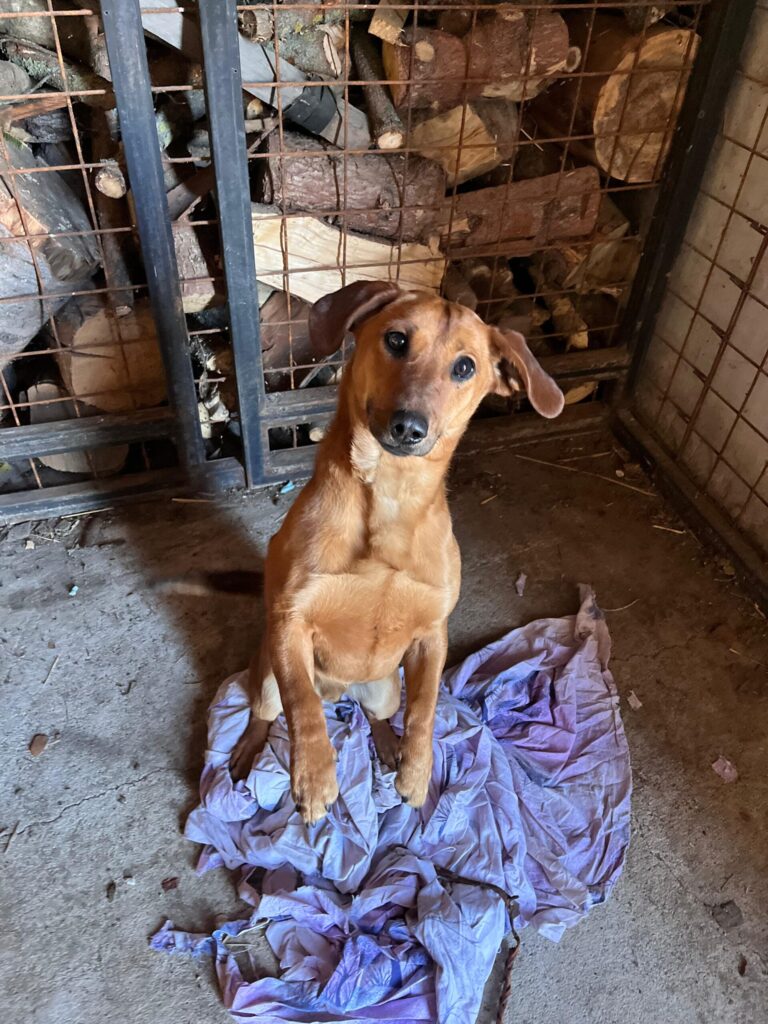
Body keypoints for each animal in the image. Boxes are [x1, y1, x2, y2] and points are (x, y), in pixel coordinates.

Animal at [231, 281, 564, 823]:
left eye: (465, 367)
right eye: (396, 340)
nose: (409, 427)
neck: (389, 497)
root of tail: (341, 691)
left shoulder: (432, 634)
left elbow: (425, 708)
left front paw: (416, 770)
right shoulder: (290, 621)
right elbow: (303, 705)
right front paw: (314, 774)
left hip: (384, 690)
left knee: (379, 717)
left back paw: (389, 745)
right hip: (264, 678)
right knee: (269, 710)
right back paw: (249, 748)